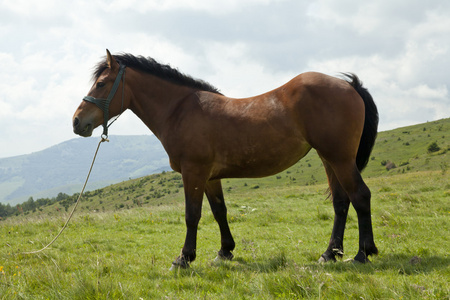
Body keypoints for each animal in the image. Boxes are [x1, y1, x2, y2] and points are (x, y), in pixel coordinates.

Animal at [72, 49, 378, 268]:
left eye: (101, 83)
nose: (76, 122)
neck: (180, 110)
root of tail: (349, 85)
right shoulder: (209, 177)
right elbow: (219, 211)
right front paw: (225, 251)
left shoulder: (193, 172)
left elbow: (192, 215)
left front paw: (184, 258)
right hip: (329, 159)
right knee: (341, 203)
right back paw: (330, 253)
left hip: (340, 159)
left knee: (360, 196)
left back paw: (362, 254)